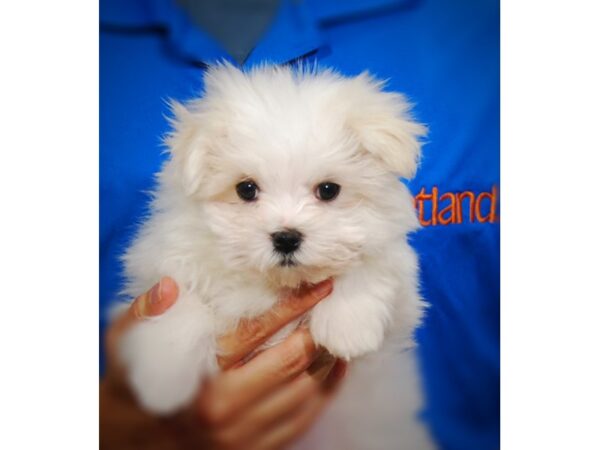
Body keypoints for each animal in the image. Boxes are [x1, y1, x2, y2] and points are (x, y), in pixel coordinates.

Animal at [117, 64, 434, 450]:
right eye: (245, 189)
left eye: (328, 190)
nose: (286, 237)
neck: (272, 282)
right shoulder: (164, 263)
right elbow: (181, 299)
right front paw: (162, 378)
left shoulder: (403, 296)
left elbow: (372, 263)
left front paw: (348, 325)